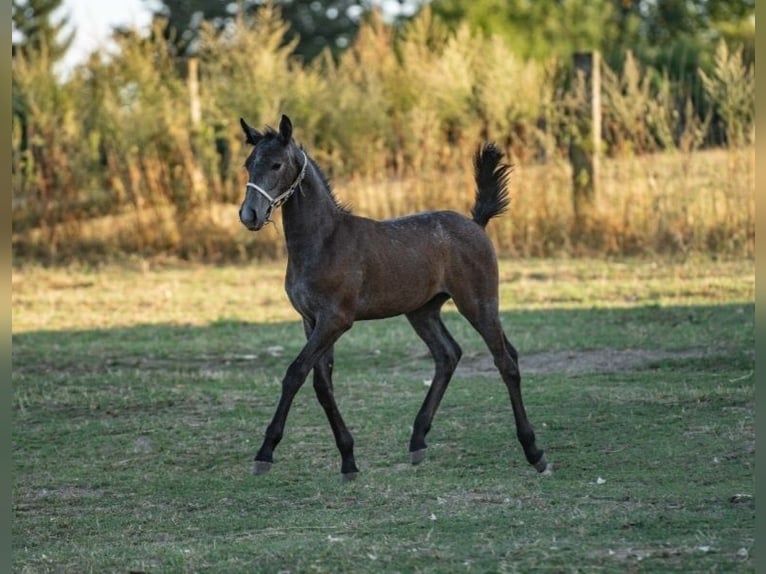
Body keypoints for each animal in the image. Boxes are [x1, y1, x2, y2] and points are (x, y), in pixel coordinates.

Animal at [240, 113, 552, 482]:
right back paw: (417, 441)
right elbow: (322, 384)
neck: (324, 241)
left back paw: (534, 452)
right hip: (422, 311)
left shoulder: (335, 320)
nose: (249, 215)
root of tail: (476, 223)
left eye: (276, 164)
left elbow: (295, 374)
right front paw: (348, 459)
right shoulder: (311, 321)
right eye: (248, 164)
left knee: (506, 361)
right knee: (448, 354)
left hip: (479, 303)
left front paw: (265, 452)